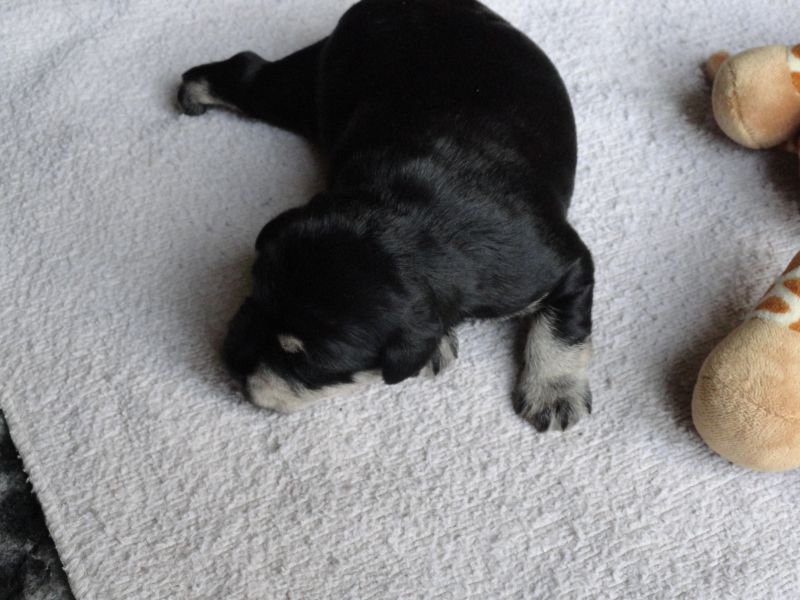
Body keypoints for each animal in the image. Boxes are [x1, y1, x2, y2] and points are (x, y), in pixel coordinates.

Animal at [177, 0, 594, 431]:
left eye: (305, 360)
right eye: (253, 295)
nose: (228, 361)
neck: (409, 218)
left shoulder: (565, 266)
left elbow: (563, 327)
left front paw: (555, 391)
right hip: (305, 92)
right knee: (249, 69)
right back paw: (193, 93)